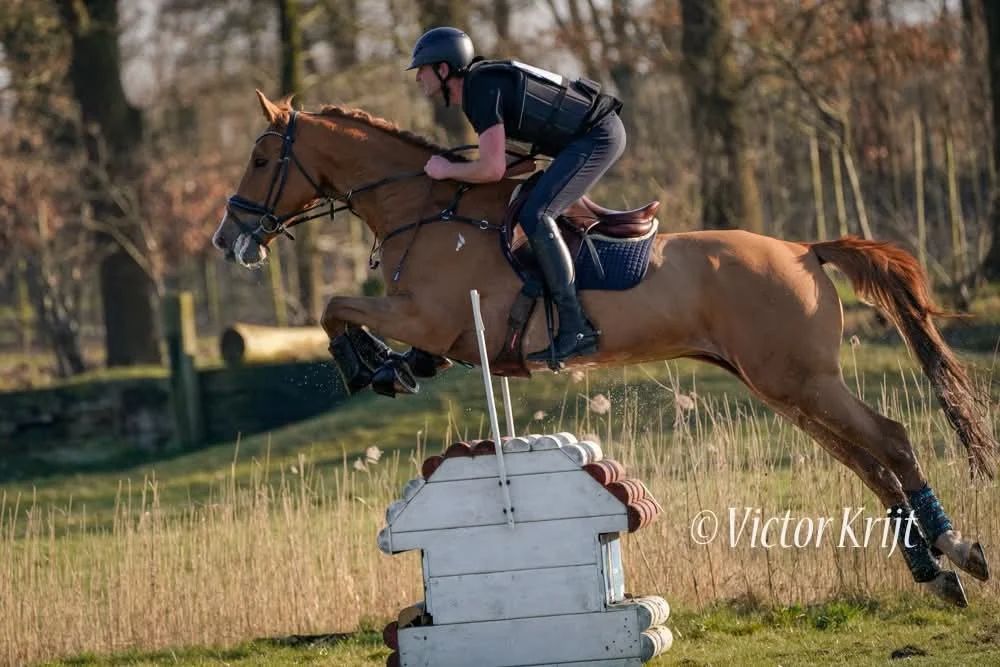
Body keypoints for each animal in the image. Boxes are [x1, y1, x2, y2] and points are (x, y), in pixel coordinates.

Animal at [212, 90, 997, 607]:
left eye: (259, 157)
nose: (229, 239)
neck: (426, 210)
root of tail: (806, 250)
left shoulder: (428, 317)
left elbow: (334, 306)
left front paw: (366, 366)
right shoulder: (451, 338)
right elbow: (367, 325)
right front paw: (387, 368)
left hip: (801, 381)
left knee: (890, 441)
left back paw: (960, 552)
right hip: (783, 387)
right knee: (867, 463)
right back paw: (934, 571)